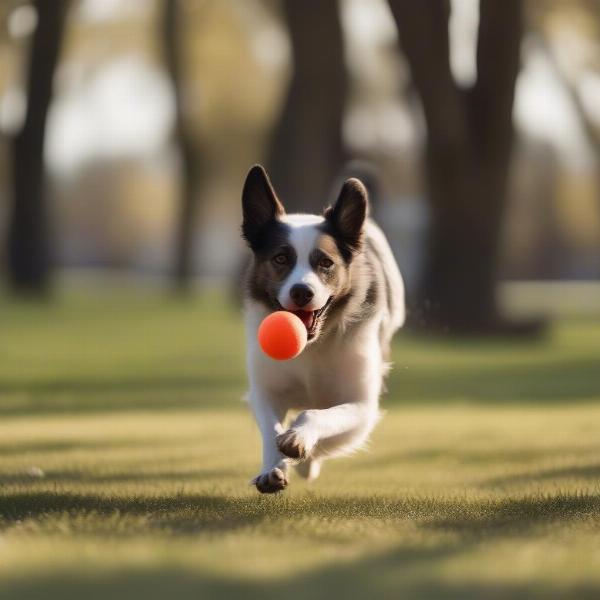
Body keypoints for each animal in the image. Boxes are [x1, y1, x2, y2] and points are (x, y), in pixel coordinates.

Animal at [239, 164, 404, 492]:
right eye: (281, 258)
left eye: (325, 263)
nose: (302, 291)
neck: (312, 346)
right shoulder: (265, 391)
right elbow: (270, 428)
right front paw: (272, 468)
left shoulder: (362, 406)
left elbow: (316, 414)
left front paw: (300, 440)